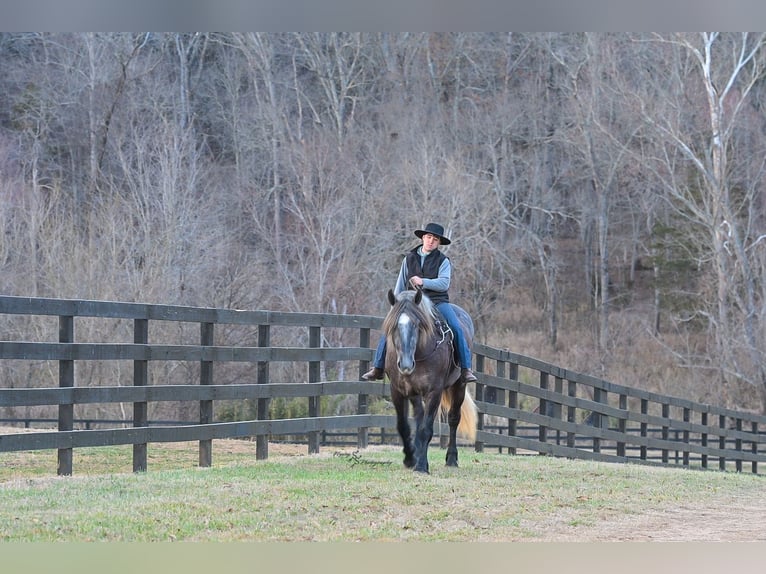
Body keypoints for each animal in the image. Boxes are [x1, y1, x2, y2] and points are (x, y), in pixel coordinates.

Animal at [380, 288, 477, 473]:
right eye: (394, 326)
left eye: (417, 325)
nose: (405, 364)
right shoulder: (398, 390)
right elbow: (404, 425)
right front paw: (410, 459)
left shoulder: (434, 392)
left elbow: (426, 429)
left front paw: (421, 466)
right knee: (419, 416)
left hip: (459, 386)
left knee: (453, 419)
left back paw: (451, 458)